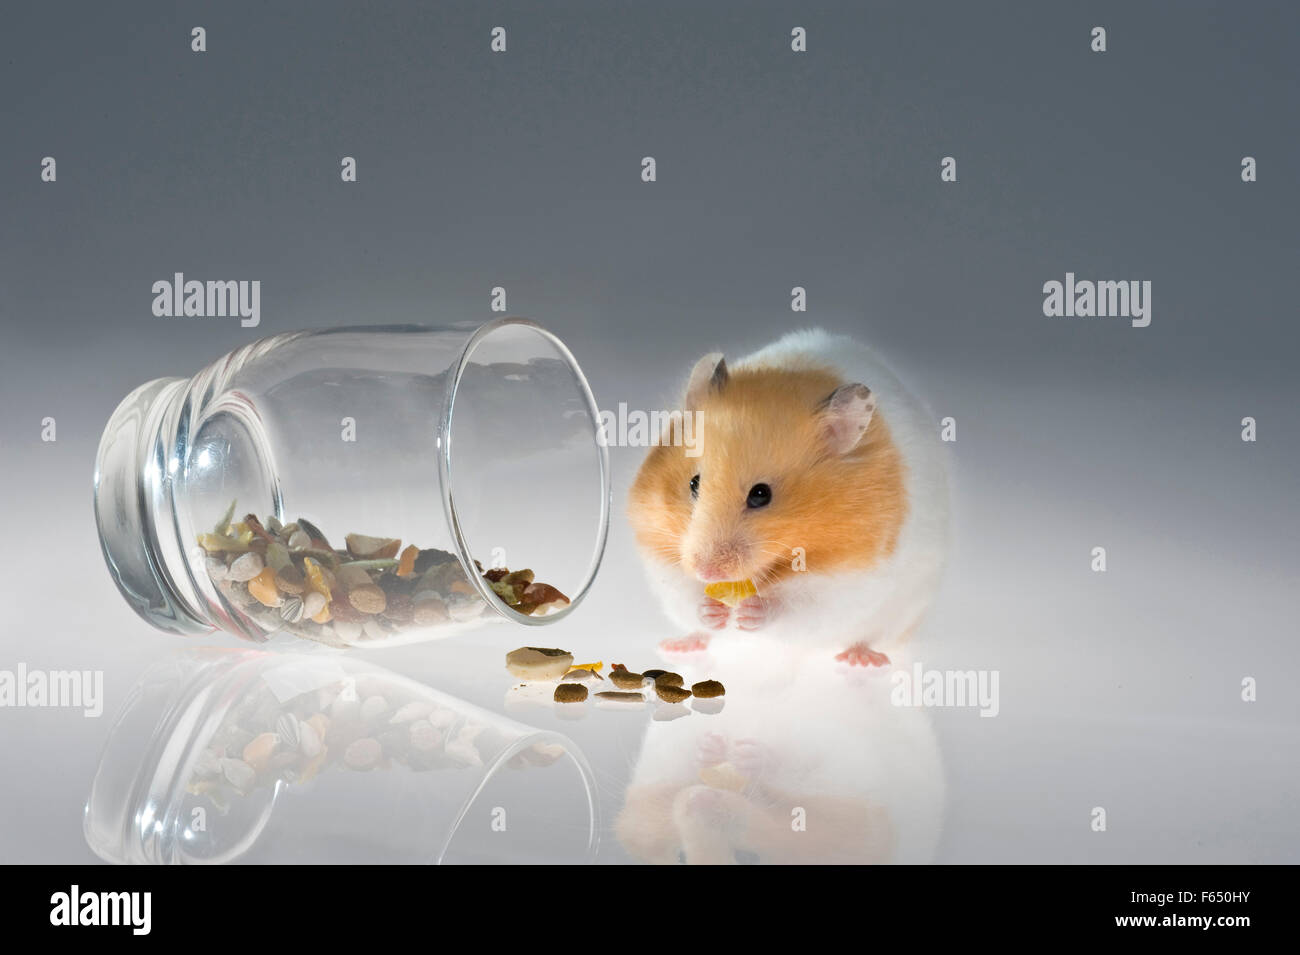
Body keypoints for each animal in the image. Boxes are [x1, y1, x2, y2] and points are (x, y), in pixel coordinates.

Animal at [626, 328, 946, 665]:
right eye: (694, 483)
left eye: (761, 495)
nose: (707, 571)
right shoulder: (661, 555)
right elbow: (686, 593)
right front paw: (711, 610)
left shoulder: (846, 578)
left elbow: (795, 605)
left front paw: (752, 611)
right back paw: (675, 646)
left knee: (867, 637)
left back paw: (860, 660)